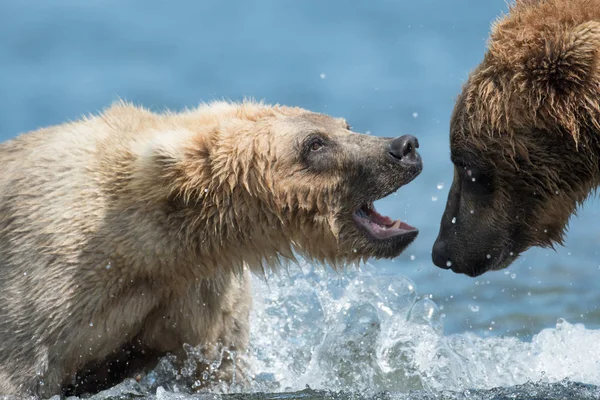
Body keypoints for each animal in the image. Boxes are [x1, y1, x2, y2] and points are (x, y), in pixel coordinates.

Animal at [0, 101, 422, 396]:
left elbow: (218, 365)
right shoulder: (49, 280)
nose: (404, 146)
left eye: (345, 125)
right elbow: (21, 367)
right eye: (315, 143)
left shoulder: (199, 294)